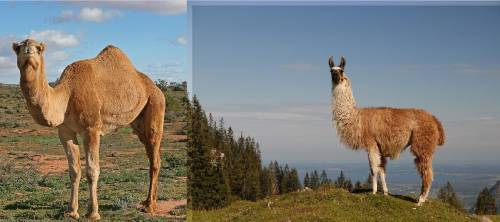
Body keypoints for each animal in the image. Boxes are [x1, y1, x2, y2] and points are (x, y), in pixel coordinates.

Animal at [12, 39, 166, 219]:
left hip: (156, 105)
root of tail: (155, 88)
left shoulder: (91, 128)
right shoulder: (65, 131)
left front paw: (93, 212)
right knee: (150, 153)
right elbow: (74, 170)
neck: (67, 95)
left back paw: (150, 206)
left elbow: (92, 170)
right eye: (18, 48)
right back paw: (148, 201)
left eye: (39, 49)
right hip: (138, 122)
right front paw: (71, 211)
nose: (28, 50)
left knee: (155, 156)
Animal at [328, 56, 446, 206]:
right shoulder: (380, 147)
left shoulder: (371, 143)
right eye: (331, 70)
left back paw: (420, 200)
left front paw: (373, 192)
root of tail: (435, 120)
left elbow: (373, 169)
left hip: (422, 144)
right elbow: (382, 170)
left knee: (428, 173)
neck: (357, 118)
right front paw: (384, 192)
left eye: (341, 70)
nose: (335, 76)